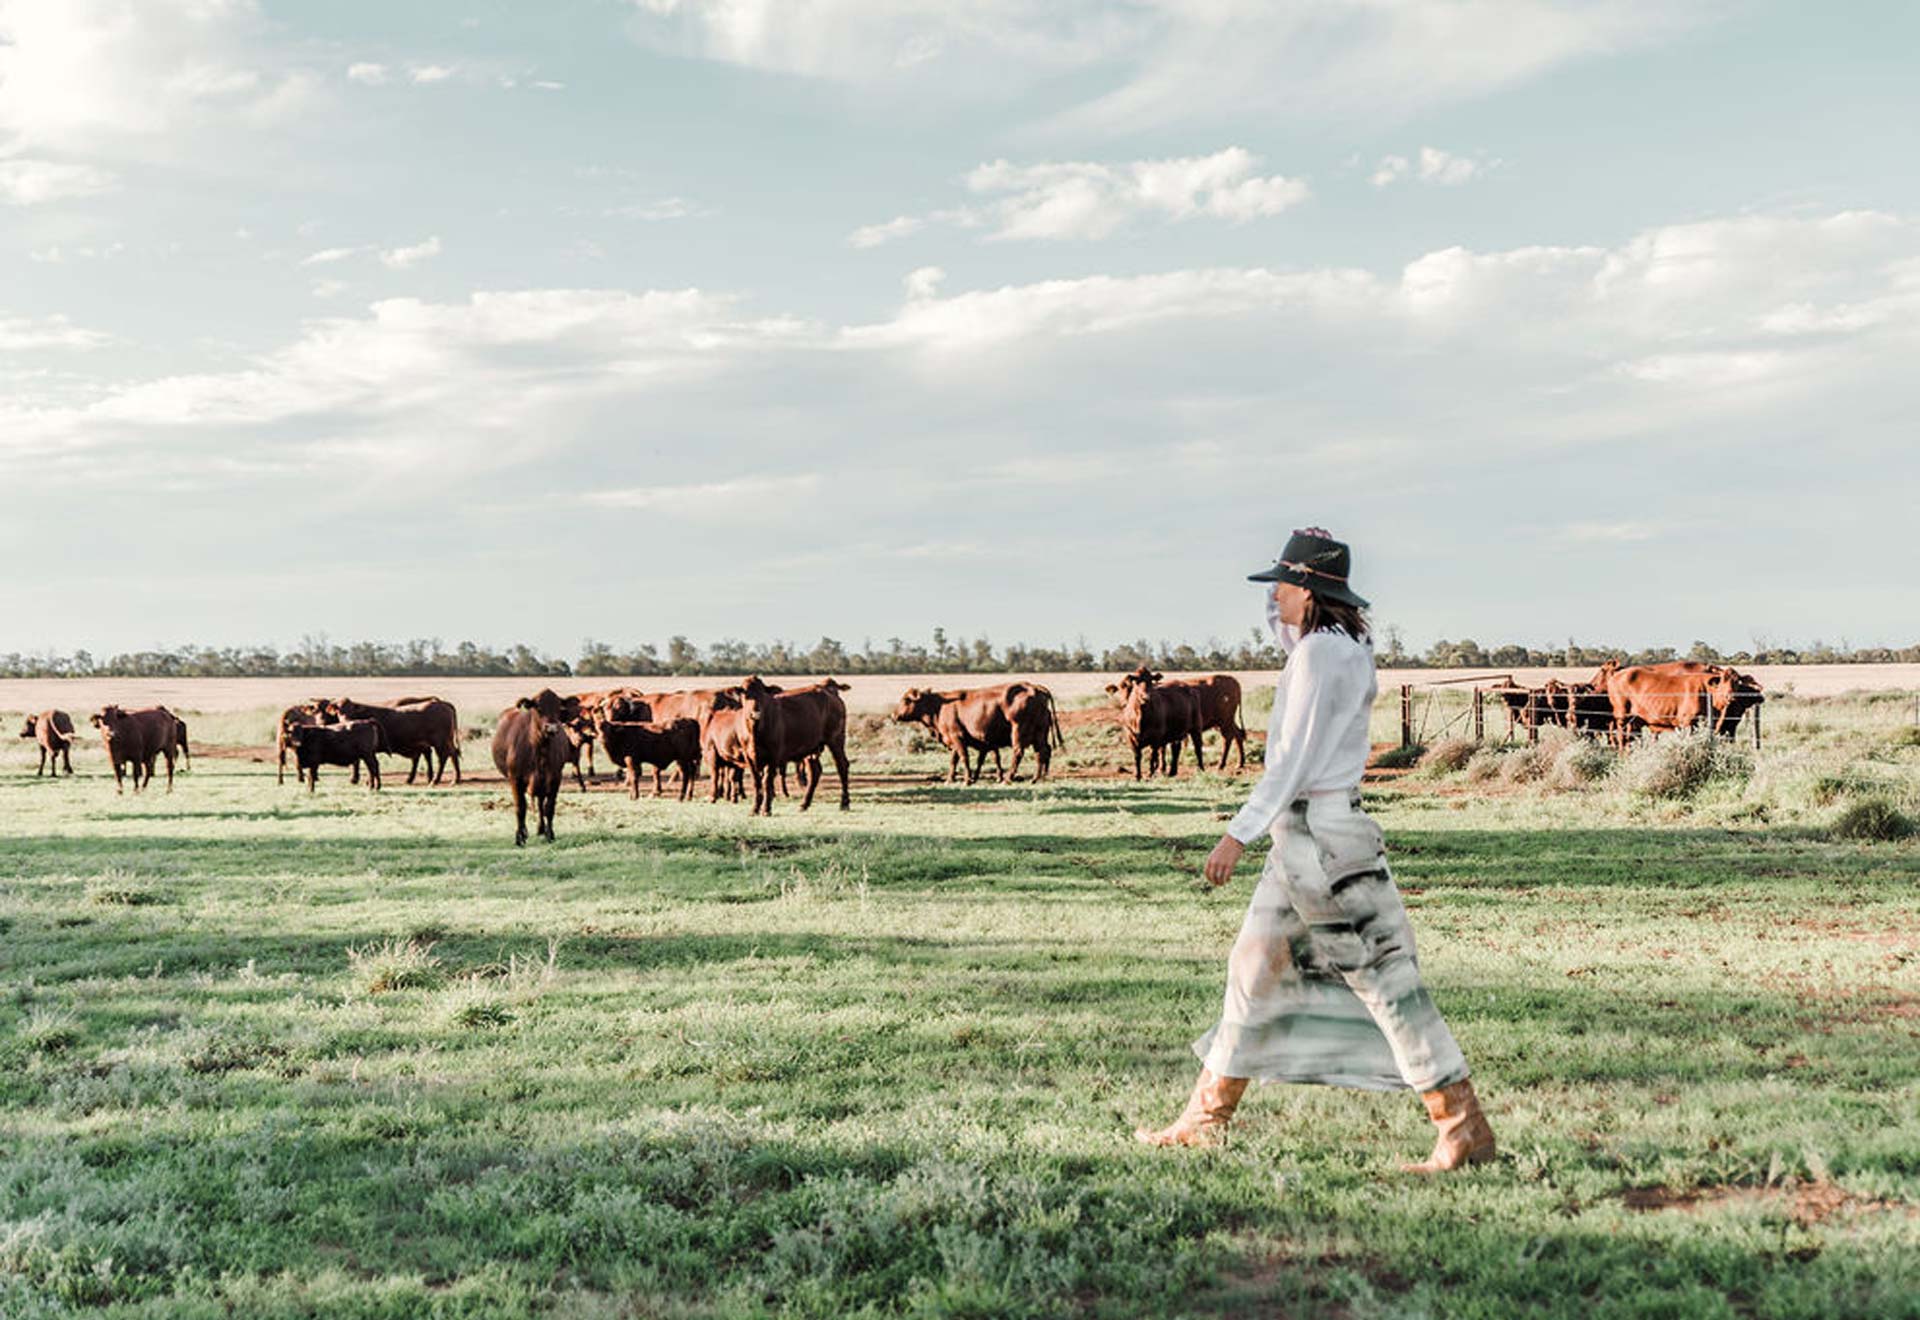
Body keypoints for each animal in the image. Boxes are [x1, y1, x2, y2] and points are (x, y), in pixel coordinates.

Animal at [487, 690, 576, 844]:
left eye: (558, 708)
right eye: (538, 707)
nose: (551, 728)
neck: (539, 749)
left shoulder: (555, 779)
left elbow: (549, 808)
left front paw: (550, 834)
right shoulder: (515, 779)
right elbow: (520, 807)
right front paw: (520, 836)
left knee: (541, 804)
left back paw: (541, 829)